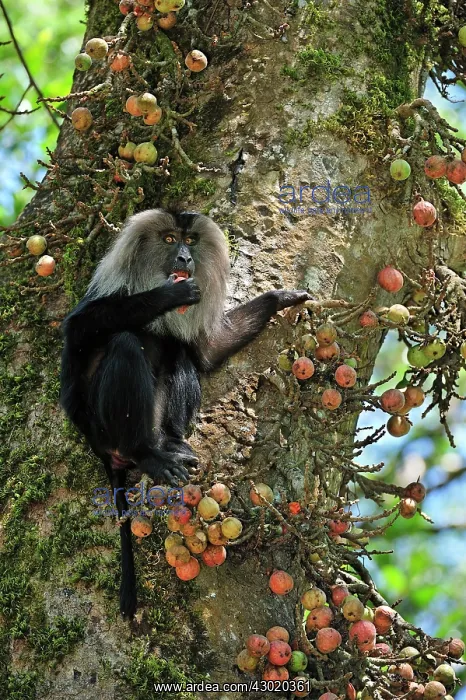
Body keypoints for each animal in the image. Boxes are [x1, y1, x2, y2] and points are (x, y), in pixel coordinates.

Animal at [60, 208, 311, 617]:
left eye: (190, 240)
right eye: (168, 240)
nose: (184, 258)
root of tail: (100, 448)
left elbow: (207, 351)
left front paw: (279, 298)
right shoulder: (106, 298)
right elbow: (79, 330)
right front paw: (167, 295)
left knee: (178, 350)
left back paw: (174, 443)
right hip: (105, 426)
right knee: (125, 343)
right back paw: (148, 455)